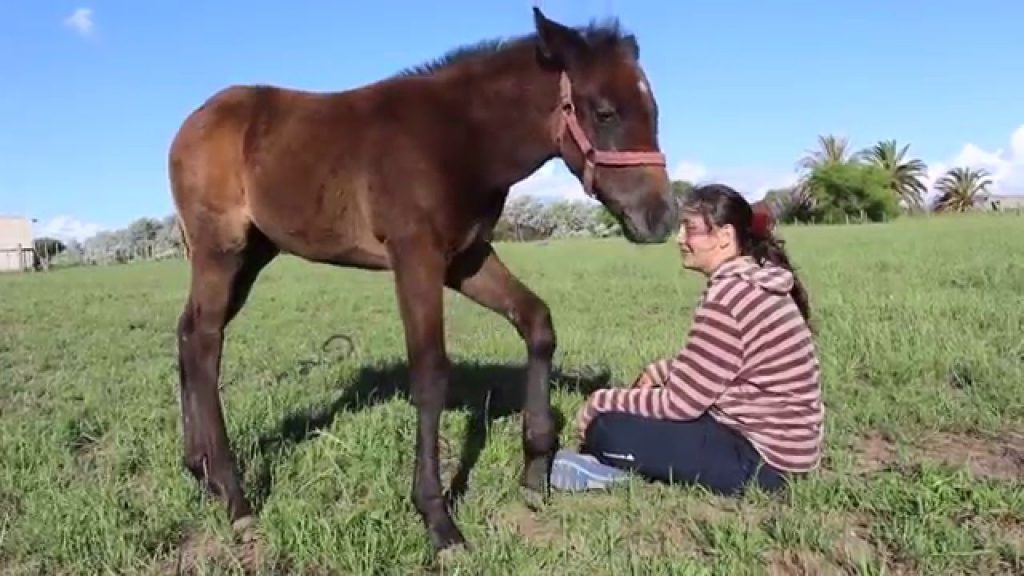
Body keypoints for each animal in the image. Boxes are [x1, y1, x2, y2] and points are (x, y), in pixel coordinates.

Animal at [168, 7, 676, 553]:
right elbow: (430, 372)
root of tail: (190, 125)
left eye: (654, 111)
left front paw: (535, 467)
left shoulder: (466, 258)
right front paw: (438, 519)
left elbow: (536, 322)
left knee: (188, 333)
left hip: (253, 254)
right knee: (204, 343)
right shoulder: (417, 256)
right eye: (604, 112)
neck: (459, 138)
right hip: (221, 252)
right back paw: (235, 498)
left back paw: (200, 471)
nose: (660, 217)